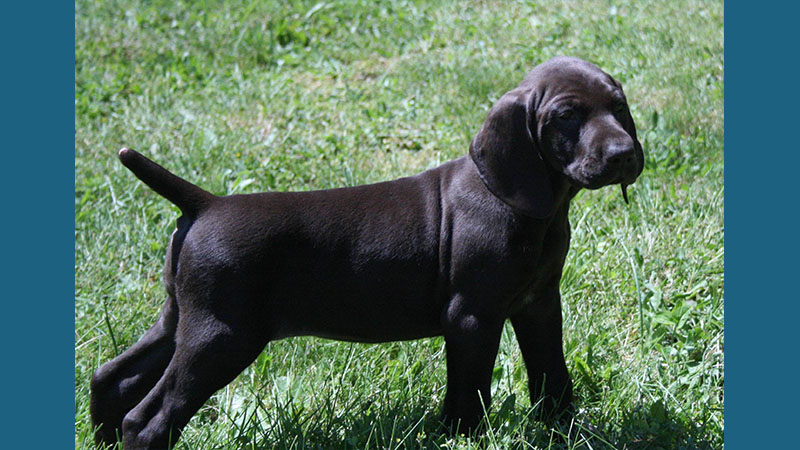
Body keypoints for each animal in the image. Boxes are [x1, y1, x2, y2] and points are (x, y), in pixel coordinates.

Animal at [92, 57, 644, 450]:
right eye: (567, 116)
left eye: (619, 107)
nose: (624, 155)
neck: (534, 209)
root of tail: (205, 203)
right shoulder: (471, 318)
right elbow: (469, 395)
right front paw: (464, 439)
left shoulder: (539, 305)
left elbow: (554, 377)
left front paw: (565, 431)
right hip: (221, 336)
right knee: (146, 420)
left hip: (182, 319)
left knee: (112, 380)